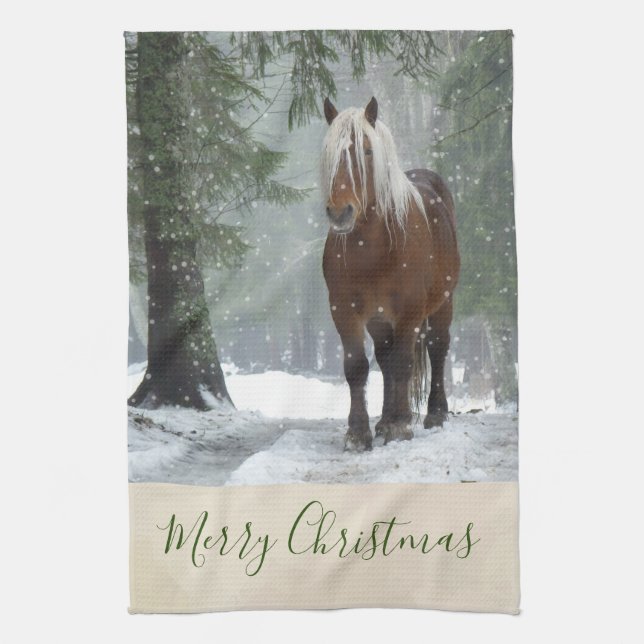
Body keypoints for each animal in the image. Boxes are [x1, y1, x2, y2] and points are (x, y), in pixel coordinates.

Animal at [321, 96, 460, 451]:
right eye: (328, 153)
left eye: (367, 152)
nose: (340, 212)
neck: (373, 250)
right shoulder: (344, 310)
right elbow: (358, 367)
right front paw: (359, 433)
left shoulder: (410, 310)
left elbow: (403, 363)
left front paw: (400, 426)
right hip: (379, 318)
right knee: (384, 360)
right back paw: (383, 420)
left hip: (443, 303)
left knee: (436, 349)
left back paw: (433, 414)